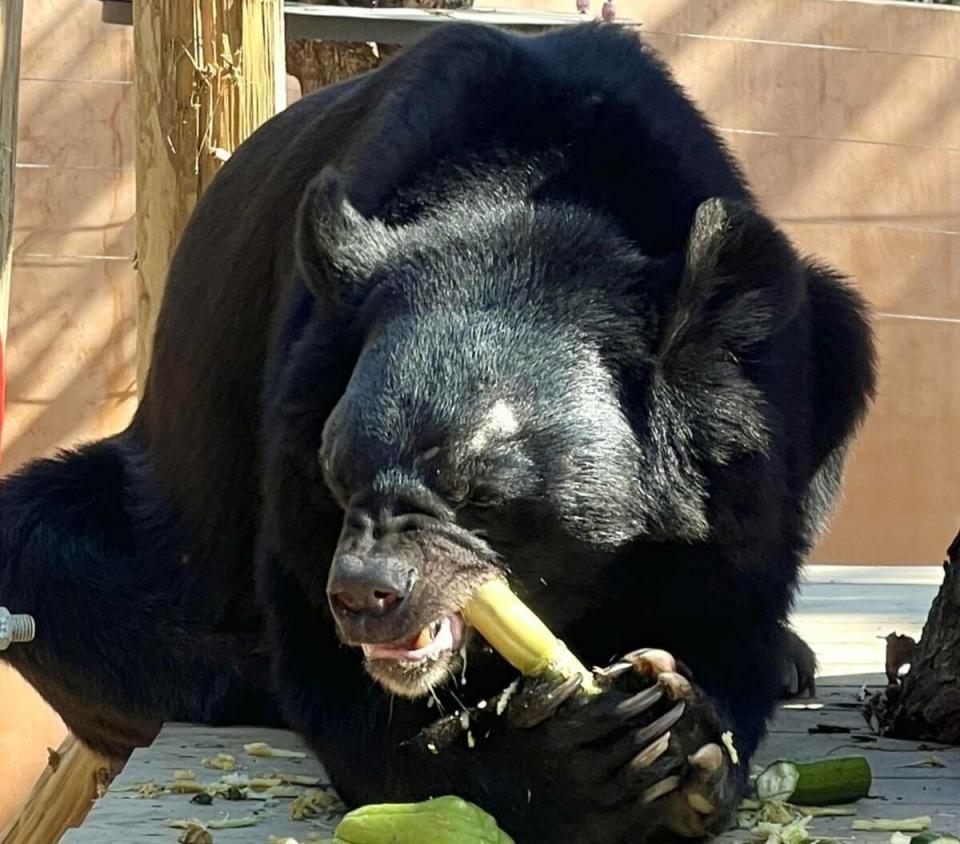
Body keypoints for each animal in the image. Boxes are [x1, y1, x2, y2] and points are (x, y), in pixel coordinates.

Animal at [0, 19, 872, 844]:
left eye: (483, 493)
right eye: (338, 472)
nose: (366, 595)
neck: (526, 203)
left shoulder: (746, 453)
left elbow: (728, 607)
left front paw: (685, 731)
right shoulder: (292, 439)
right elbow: (331, 678)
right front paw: (578, 765)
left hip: (830, 334)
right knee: (51, 566)